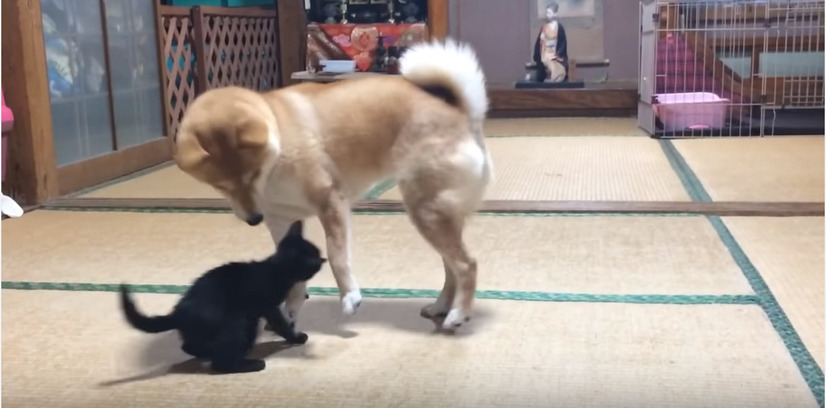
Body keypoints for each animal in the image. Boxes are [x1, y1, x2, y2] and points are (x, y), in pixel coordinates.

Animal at [119, 222, 326, 374]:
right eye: (315, 258)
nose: (323, 259)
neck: (276, 270)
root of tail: (178, 313)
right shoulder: (268, 306)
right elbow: (282, 324)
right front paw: (296, 337)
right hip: (235, 319)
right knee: (220, 364)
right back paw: (250, 364)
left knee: (189, 345)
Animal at [175, 39, 492, 330]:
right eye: (221, 186)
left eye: (253, 174)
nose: (253, 219)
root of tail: (461, 113)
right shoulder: (280, 221)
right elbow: (291, 272)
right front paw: (291, 310)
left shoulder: (330, 202)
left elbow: (337, 256)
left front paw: (350, 297)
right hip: (434, 216)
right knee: (452, 267)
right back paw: (441, 307)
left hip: (426, 210)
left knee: (467, 265)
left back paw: (458, 314)